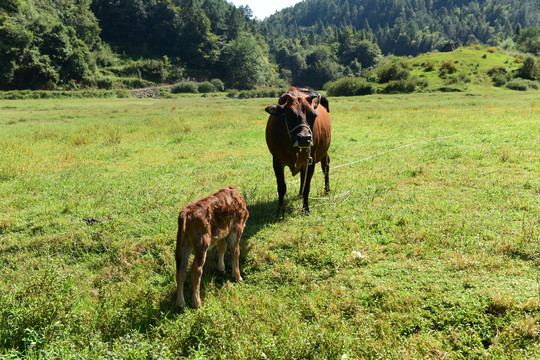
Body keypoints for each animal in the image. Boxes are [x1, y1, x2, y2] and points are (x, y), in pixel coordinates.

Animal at [264, 87, 332, 215]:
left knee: (325, 168)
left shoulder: (310, 160)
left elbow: (307, 187)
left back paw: (327, 190)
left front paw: (306, 209)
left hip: (324, 152)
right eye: (289, 114)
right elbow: (281, 187)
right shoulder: (276, 160)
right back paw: (300, 195)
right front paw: (280, 210)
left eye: (314, 115)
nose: (304, 138)